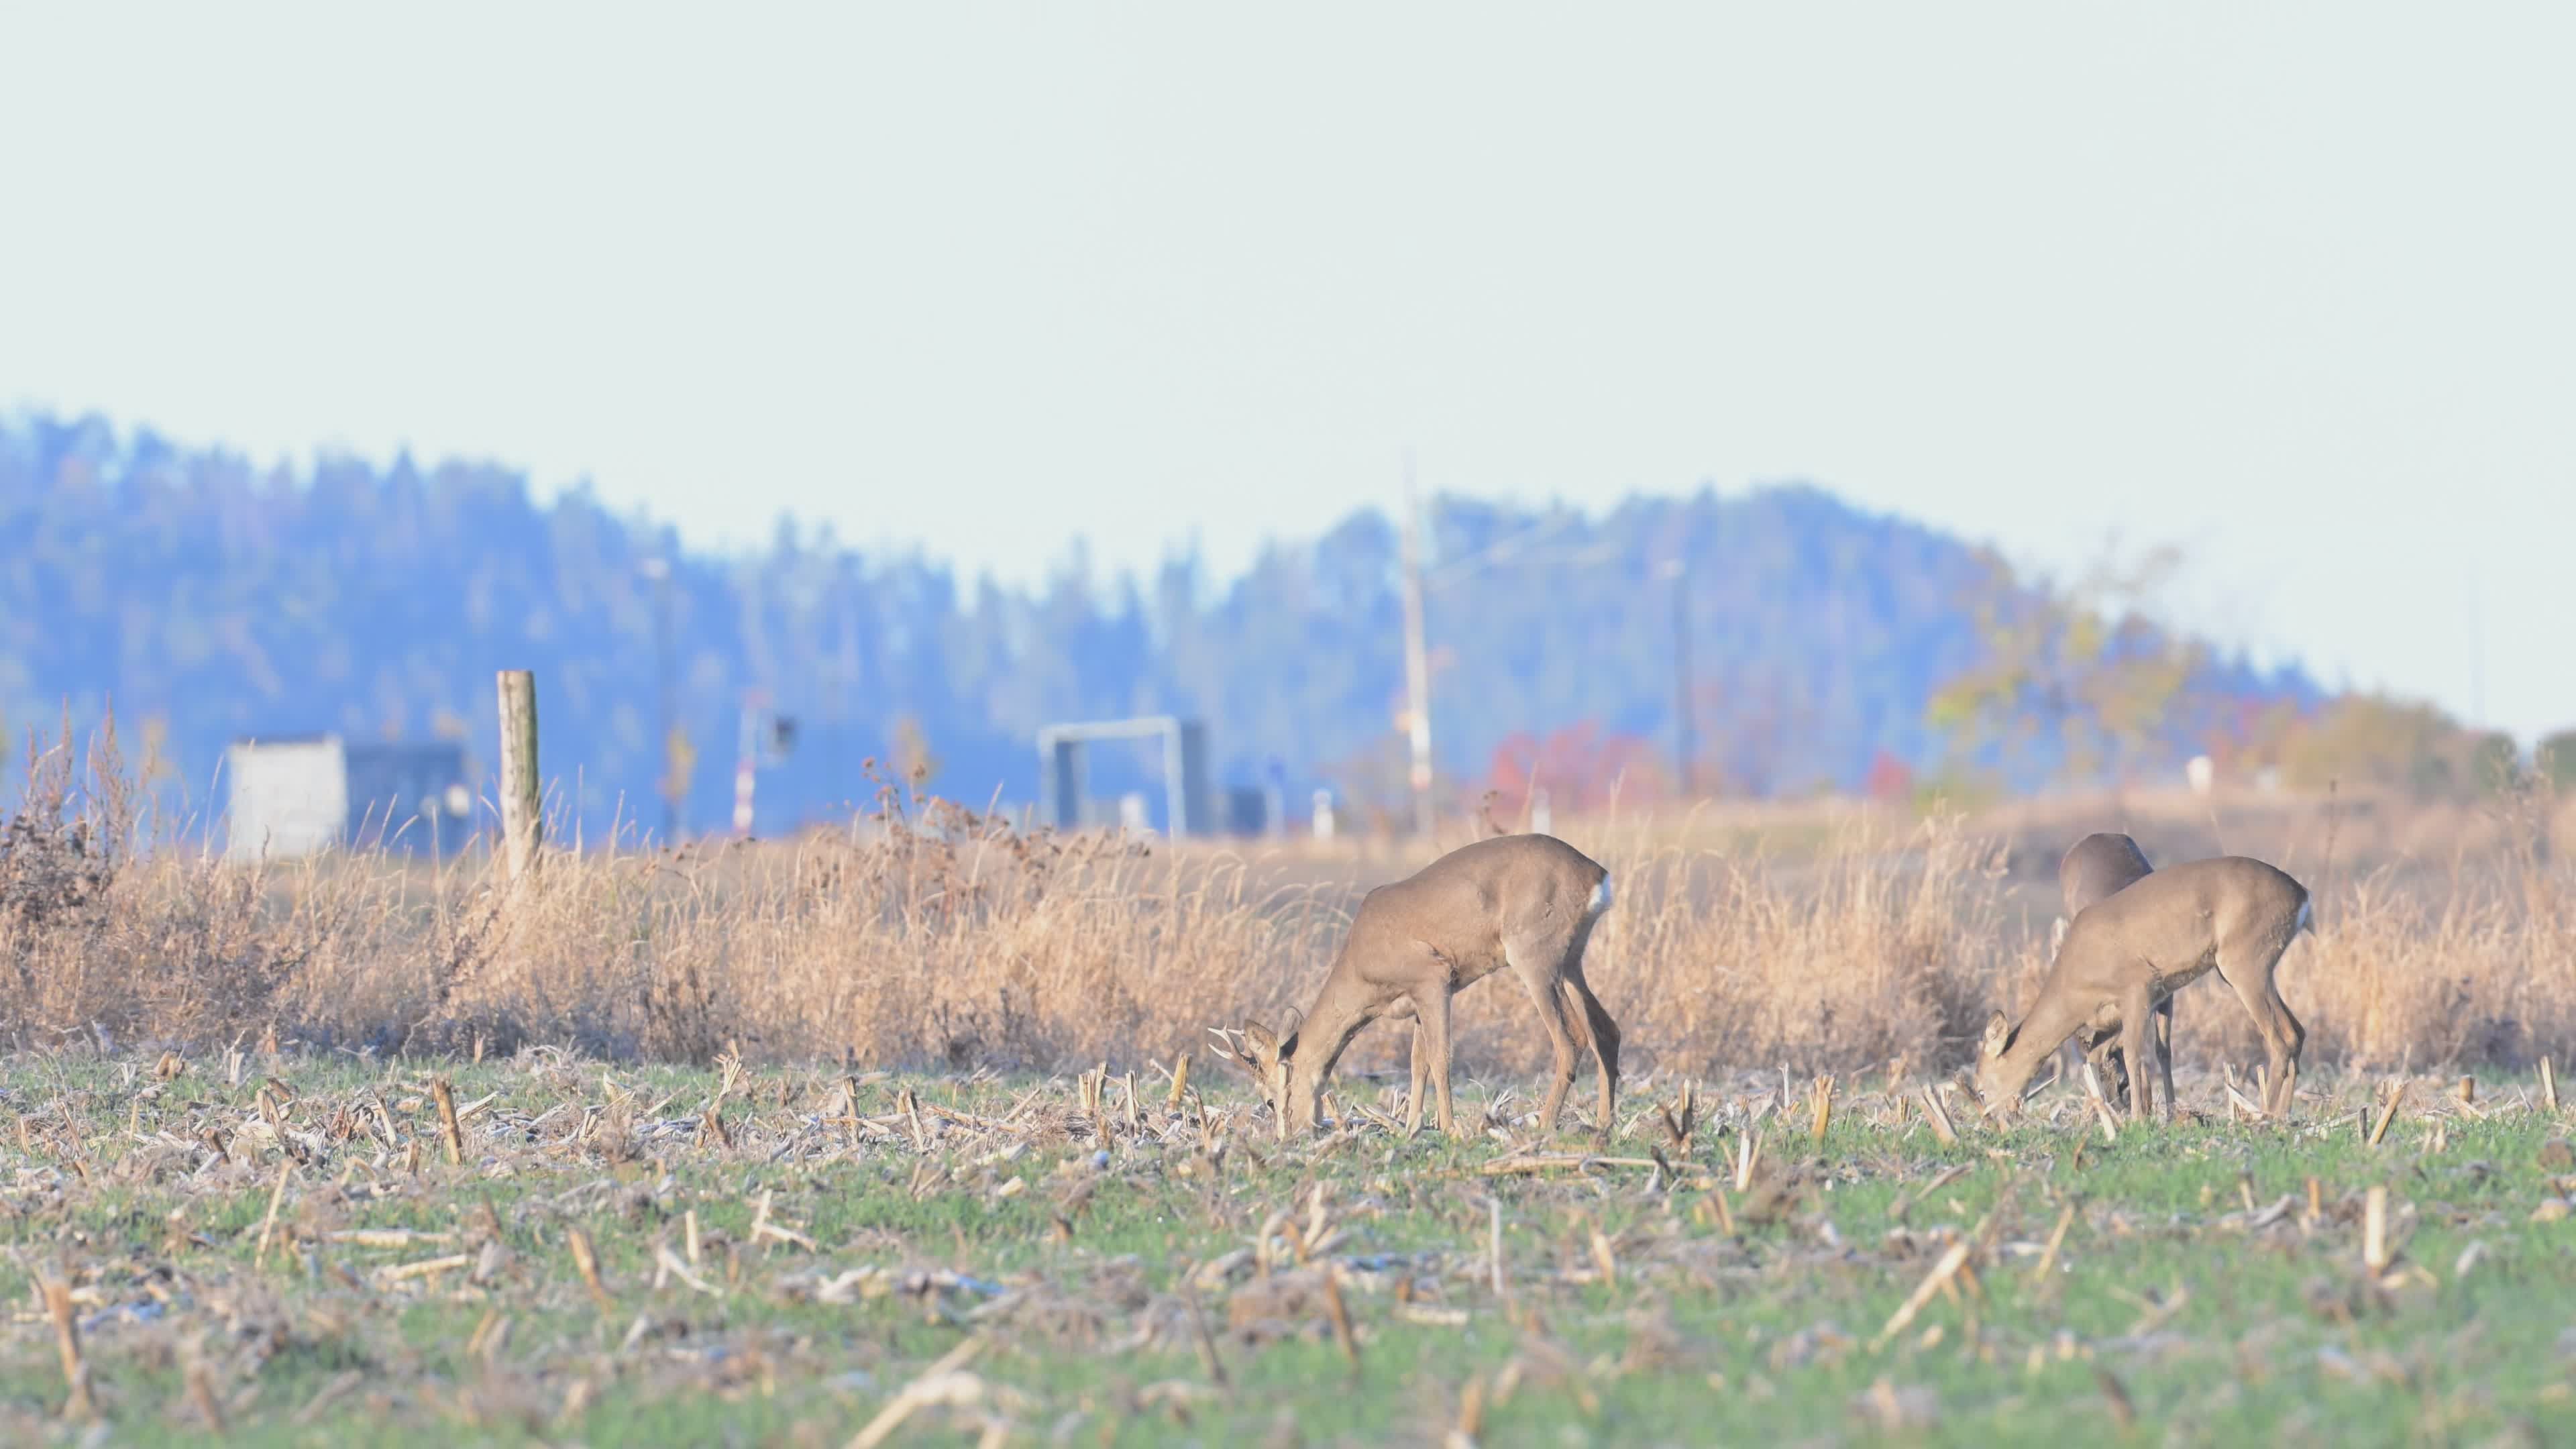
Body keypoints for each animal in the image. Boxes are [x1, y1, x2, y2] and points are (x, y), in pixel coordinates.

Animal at [1210, 832, 1619, 1141]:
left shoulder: (1433, 976)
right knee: (1605, 1029)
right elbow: (1416, 1061)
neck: (1361, 969)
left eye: (1269, 1100)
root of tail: (1596, 875)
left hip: (1533, 953)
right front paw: (1412, 1128)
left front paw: (1450, 1129)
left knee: (1571, 1037)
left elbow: (1440, 1057)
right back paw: (1603, 1123)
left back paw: (1544, 1125)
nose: (1287, 1137)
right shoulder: (1417, 1000)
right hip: (1571, 959)